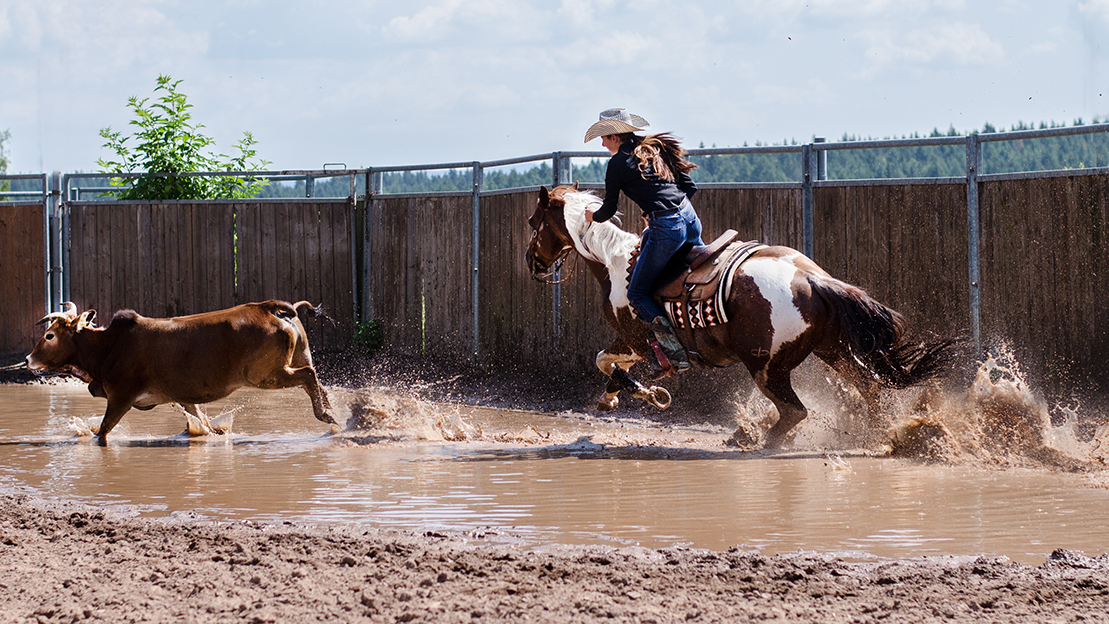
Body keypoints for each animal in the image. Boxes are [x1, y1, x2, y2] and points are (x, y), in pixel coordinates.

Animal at [27, 299, 337, 441]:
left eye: (50, 335)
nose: (29, 360)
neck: (109, 345)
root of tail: (267, 307)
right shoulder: (183, 397)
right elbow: (203, 425)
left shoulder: (120, 399)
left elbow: (102, 432)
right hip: (294, 359)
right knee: (315, 380)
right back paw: (335, 416)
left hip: (265, 375)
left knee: (308, 376)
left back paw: (326, 415)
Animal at [523, 182, 958, 447]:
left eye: (533, 222)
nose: (532, 262)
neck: (614, 261)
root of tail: (812, 279)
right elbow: (609, 365)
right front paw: (620, 395)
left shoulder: (635, 341)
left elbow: (605, 360)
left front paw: (633, 392)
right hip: (832, 350)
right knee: (869, 388)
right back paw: (877, 436)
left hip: (766, 367)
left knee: (795, 411)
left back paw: (758, 442)